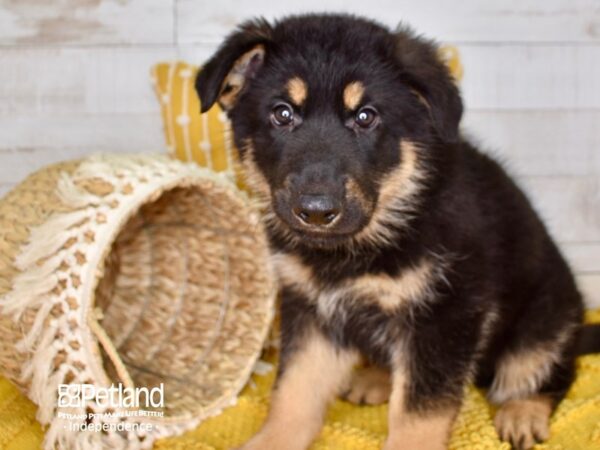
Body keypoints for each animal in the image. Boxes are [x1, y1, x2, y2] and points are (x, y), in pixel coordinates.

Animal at [196, 14, 584, 450]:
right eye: (282, 114)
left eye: (366, 117)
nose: (316, 212)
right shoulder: (313, 311)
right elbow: (294, 389)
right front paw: (273, 439)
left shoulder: (444, 316)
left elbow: (419, 410)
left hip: (542, 323)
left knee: (548, 370)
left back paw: (522, 411)